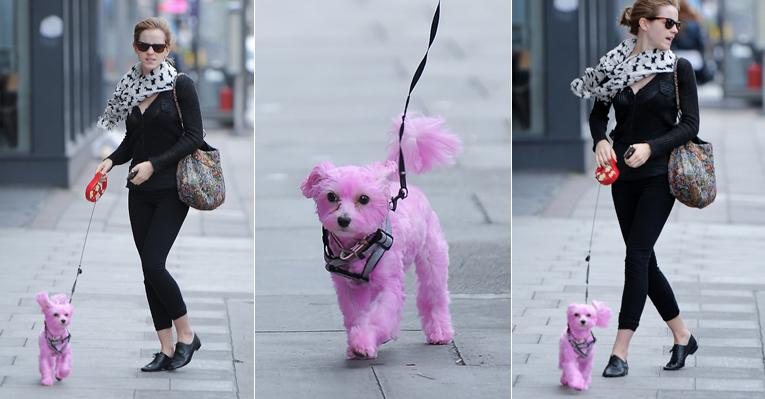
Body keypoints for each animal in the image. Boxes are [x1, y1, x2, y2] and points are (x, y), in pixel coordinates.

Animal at [302, 115, 462, 360]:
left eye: (364, 198)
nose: (343, 220)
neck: (357, 246)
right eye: (331, 196)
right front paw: (360, 342)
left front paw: (371, 338)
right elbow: (357, 316)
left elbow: (381, 316)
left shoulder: (389, 285)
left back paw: (440, 331)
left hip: (432, 258)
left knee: (433, 296)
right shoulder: (349, 288)